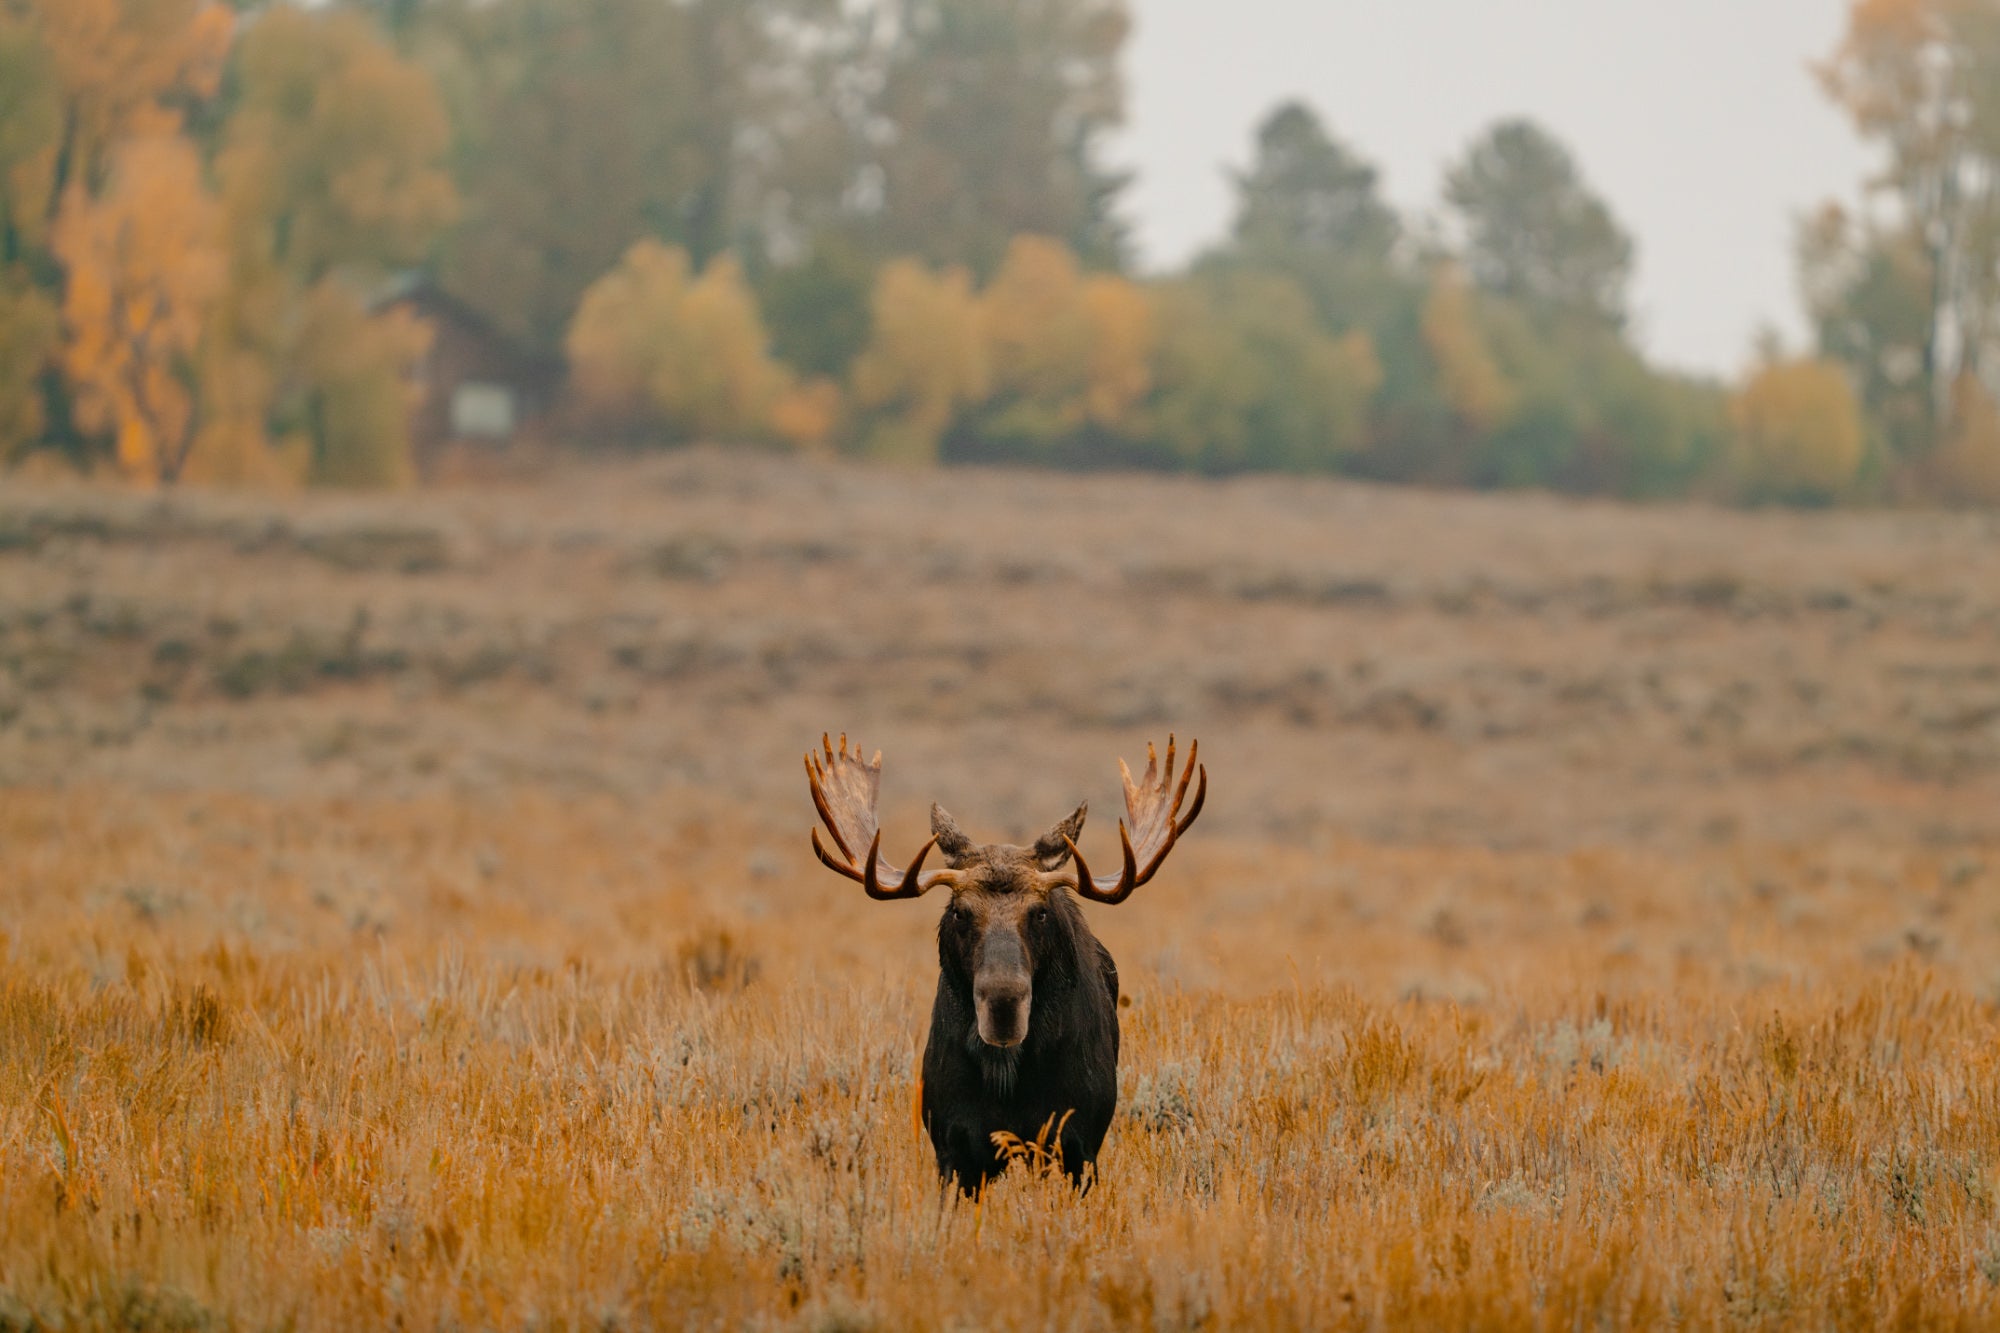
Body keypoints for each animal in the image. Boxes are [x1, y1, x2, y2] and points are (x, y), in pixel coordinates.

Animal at [805, 732, 1206, 1195]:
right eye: (959, 911)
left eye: (1040, 912)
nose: (1002, 1006)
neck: (1008, 1079)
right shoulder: (953, 1147)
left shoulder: (1079, 1144)